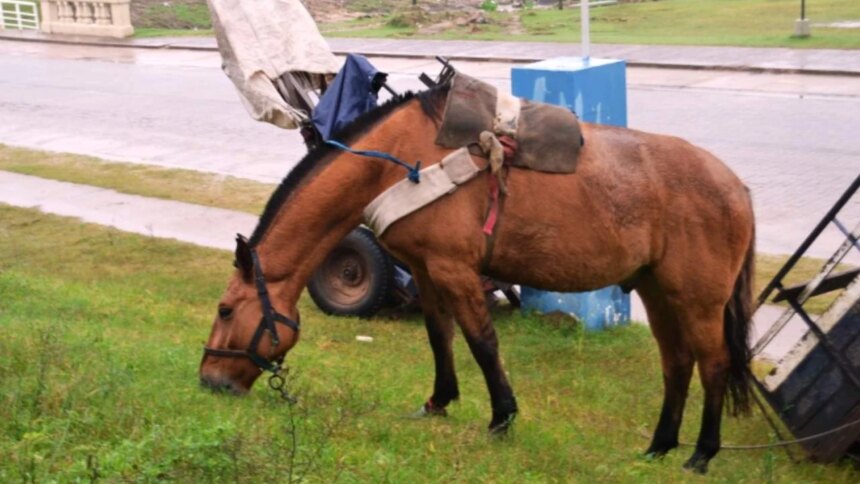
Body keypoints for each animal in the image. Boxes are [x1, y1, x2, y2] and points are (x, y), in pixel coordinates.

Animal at [199, 83, 756, 474]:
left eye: (225, 310)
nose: (210, 381)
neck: (400, 160)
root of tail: (736, 185)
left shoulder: (454, 268)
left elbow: (482, 342)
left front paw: (501, 418)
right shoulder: (426, 271)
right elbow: (439, 337)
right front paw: (438, 403)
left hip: (698, 300)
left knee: (713, 365)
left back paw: (701, 454)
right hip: (658, 292)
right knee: (677, 364)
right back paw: (659, 447)